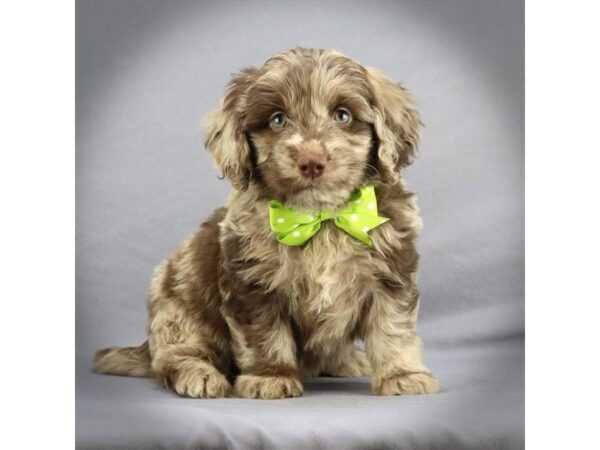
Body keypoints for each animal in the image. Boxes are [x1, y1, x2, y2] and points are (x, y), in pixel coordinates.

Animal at [95, 47, 440, 400]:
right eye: (277, 119)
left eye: (343, 116)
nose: (311, 162)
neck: (320, 217)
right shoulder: (253, 283)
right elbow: (264, 335)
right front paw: (270, 376)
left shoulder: (392, 274)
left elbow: (393, 329)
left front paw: (402, 375)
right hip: (178, 309)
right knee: (175, 356)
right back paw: (198, 375)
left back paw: (348, 360)